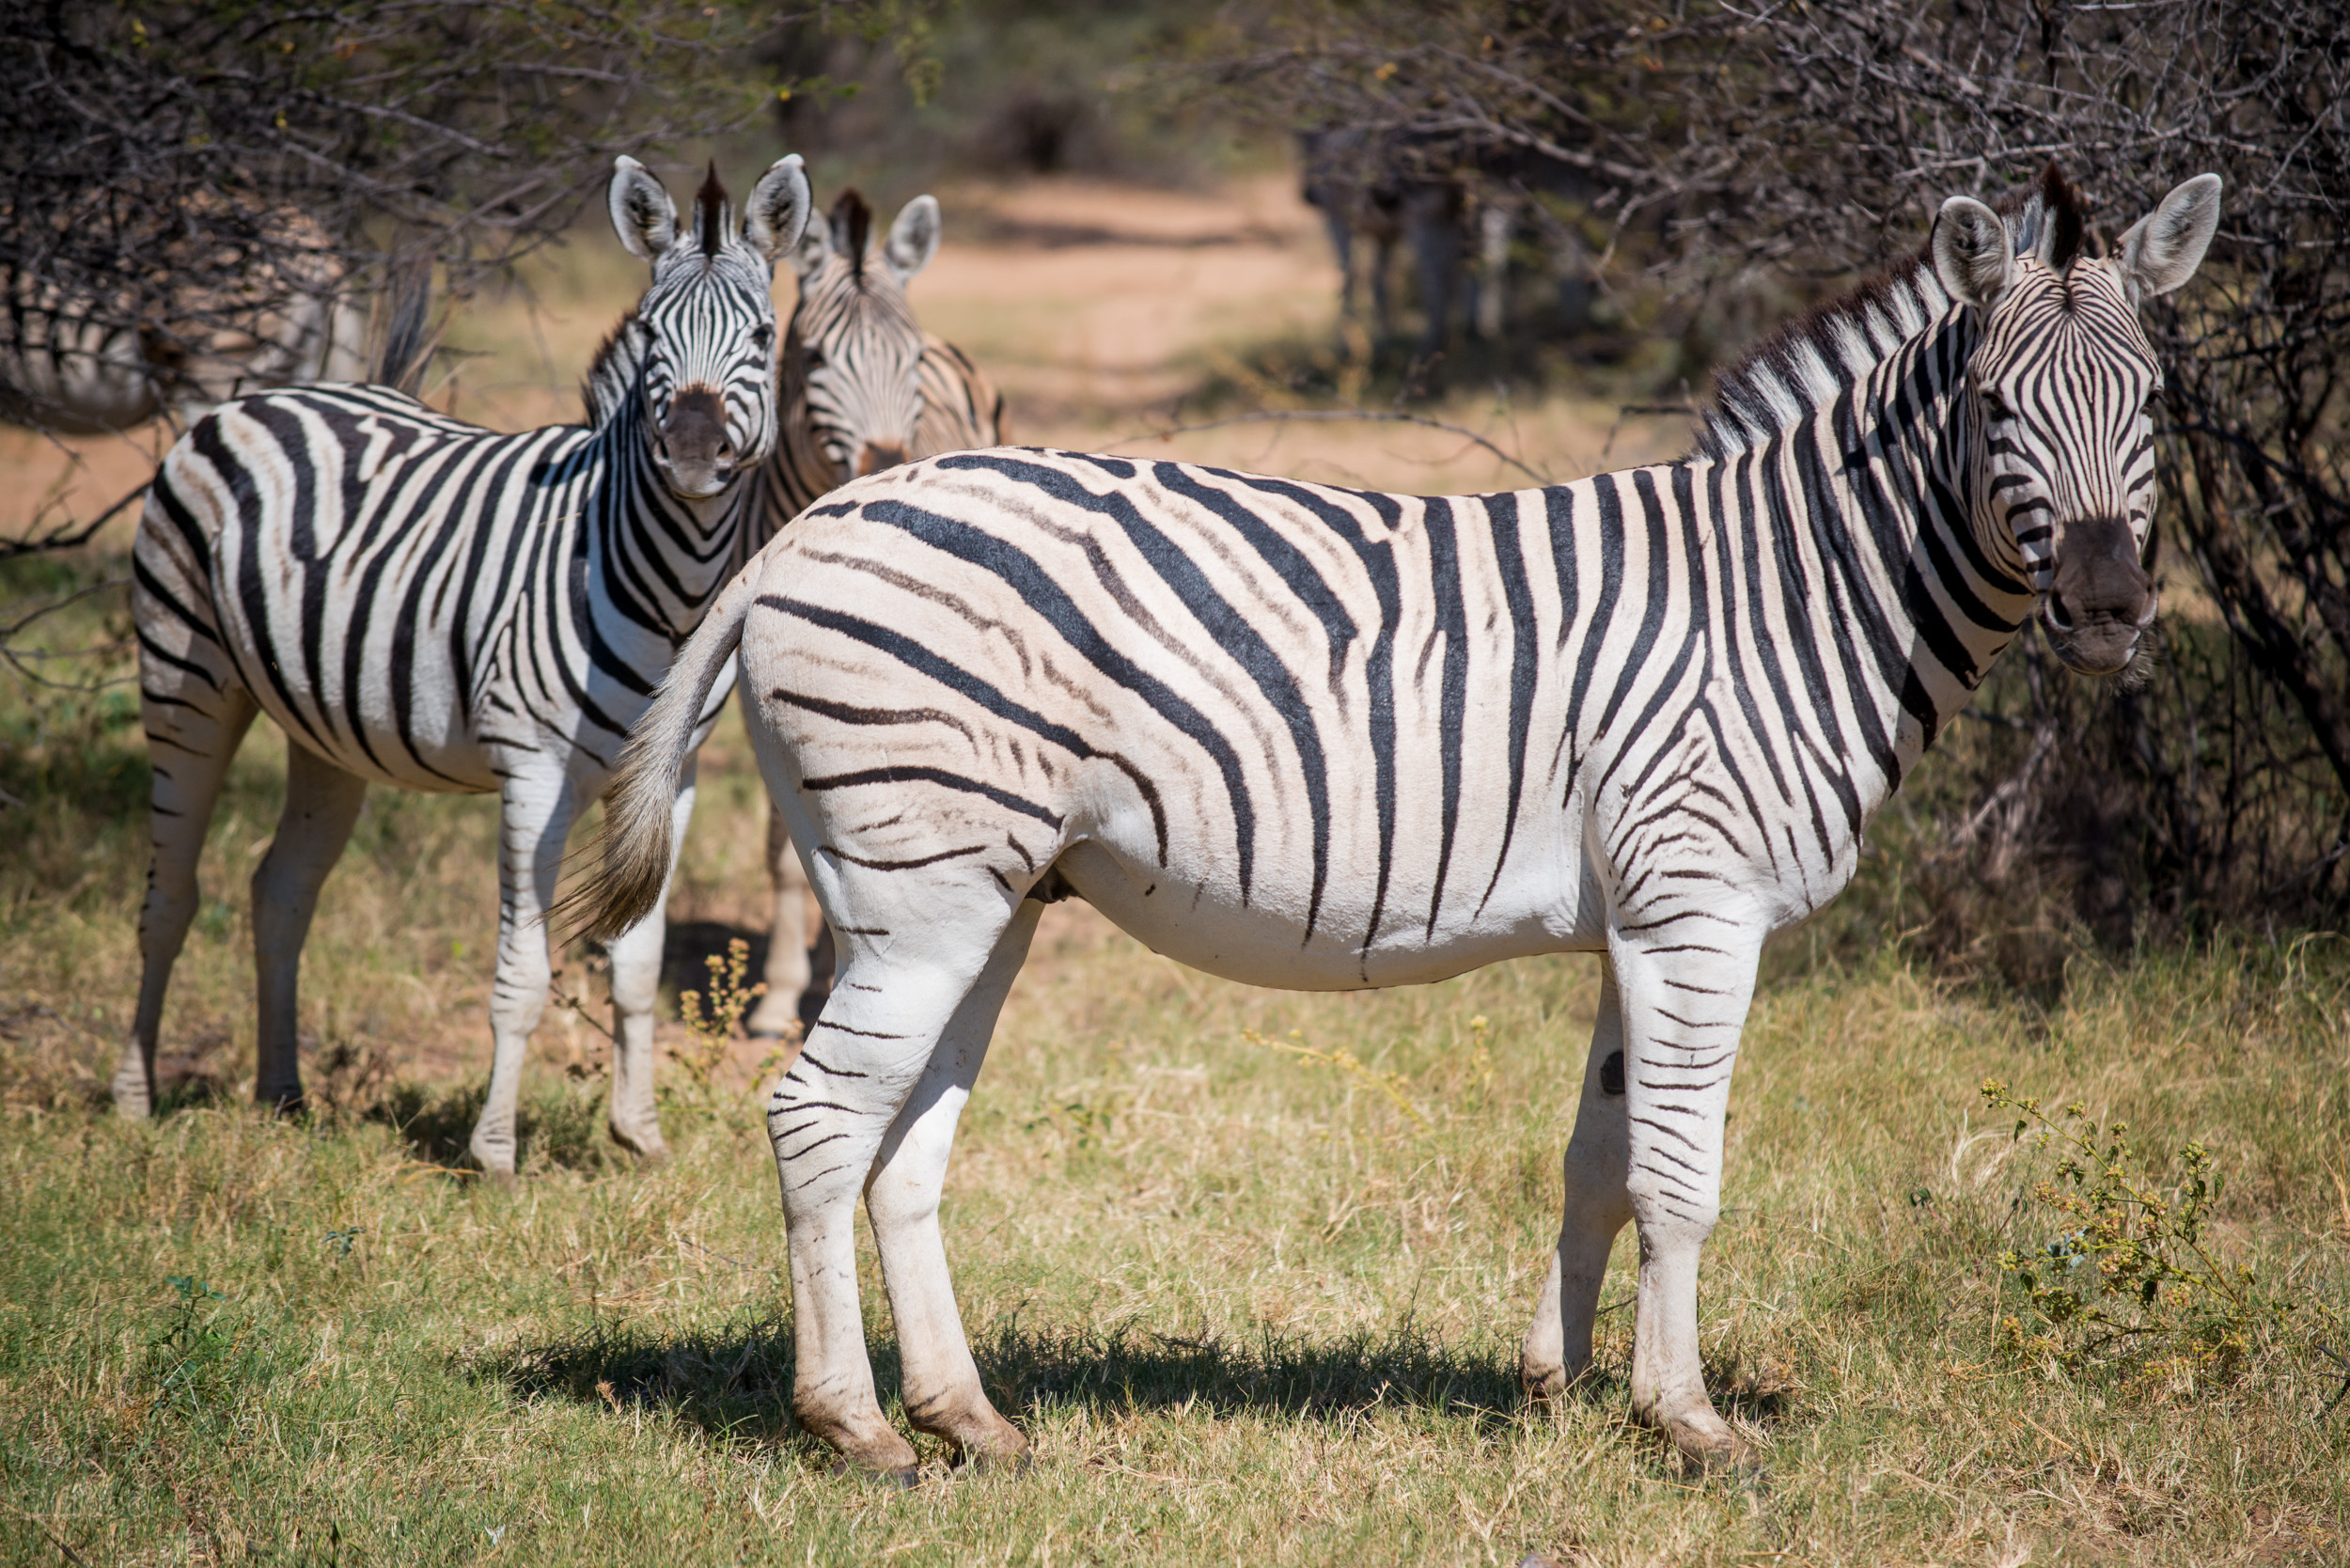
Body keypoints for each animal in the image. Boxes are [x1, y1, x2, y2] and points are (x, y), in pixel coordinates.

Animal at [118, 162, 818, 1189]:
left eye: (764, 338)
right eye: (653, 336)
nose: (692, 451)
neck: (670, 591)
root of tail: (262, 392)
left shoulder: (675, 776)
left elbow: (638, 963)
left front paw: (640, 1136)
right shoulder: (534, 771)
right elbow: (522, 975)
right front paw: (495, 1155)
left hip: (326, 727)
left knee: (280, 891)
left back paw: (284, 1094)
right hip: (184, 674)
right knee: (169, 896)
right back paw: (134, 1099)